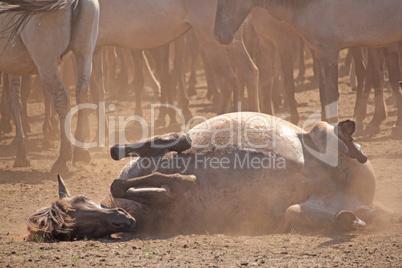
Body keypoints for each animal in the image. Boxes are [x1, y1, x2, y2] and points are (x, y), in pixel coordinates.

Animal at [28, 113, 392, 241]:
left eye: (80, 200)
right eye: (76, 232)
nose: (123, 221)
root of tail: (363, 201)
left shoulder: (152, 156)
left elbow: (169, 144)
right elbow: (161, 186)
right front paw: (186, 182)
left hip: (319, 134)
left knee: (331, 135)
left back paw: (348, 136)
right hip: (304, 211)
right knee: (337, 216)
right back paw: (349, 220)